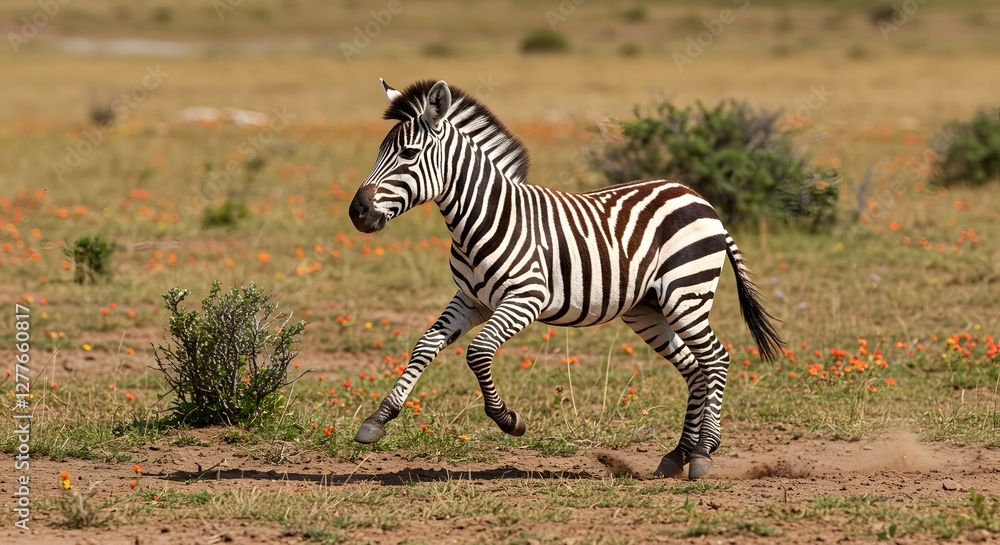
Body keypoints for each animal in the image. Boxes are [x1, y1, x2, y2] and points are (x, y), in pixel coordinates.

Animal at [348, 78, 782, 480]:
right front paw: (377, 419)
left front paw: (510, 420)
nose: (356, 212)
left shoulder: (526, 297)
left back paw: (704, 452)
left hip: (685, 294)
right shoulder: (471, 299)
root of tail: (699, 198)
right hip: (647, 309)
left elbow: (478, 352)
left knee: (716, 359)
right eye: (379, 151)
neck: (482, 218)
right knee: (694, 368)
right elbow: (424, 345)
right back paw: (677, 455)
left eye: (408, 154)